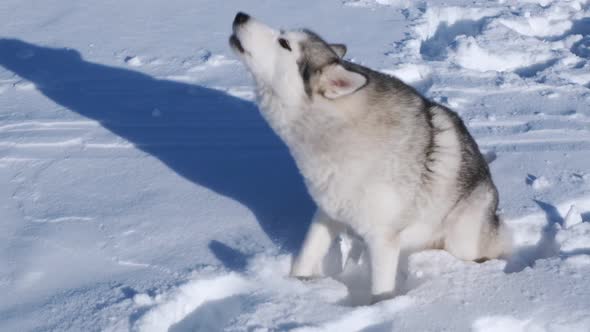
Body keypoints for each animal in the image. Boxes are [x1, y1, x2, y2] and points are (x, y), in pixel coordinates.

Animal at [231, 12, 512, 300]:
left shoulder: (382, 238)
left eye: (284, 43)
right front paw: (296, 284)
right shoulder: (327, 212)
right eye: (283, 34)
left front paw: (380, 306)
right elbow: (306, 255)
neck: (334, 132)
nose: (241, 16)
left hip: (462, 237)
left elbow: (381, 288)